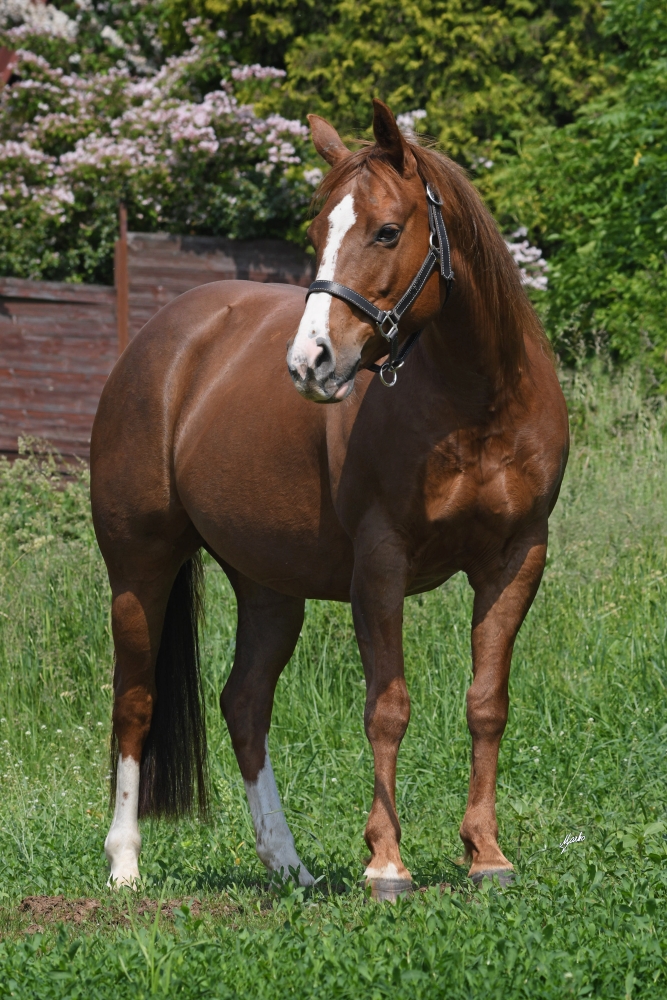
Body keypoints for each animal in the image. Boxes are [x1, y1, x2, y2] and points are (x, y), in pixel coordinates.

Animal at [88, 99, 568, 900]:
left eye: (387, 230)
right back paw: (125, 863)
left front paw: (486, 854)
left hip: (268, 586)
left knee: (244, 704)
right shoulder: (380, 562)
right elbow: (388, 707)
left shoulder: (516, 557)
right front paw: (386, 862)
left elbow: (486, 703)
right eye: (316, 236)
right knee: (135, 700)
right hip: (138, 568)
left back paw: (288, 863)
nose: (310, 362)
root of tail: (162, 342)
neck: (477, 407)